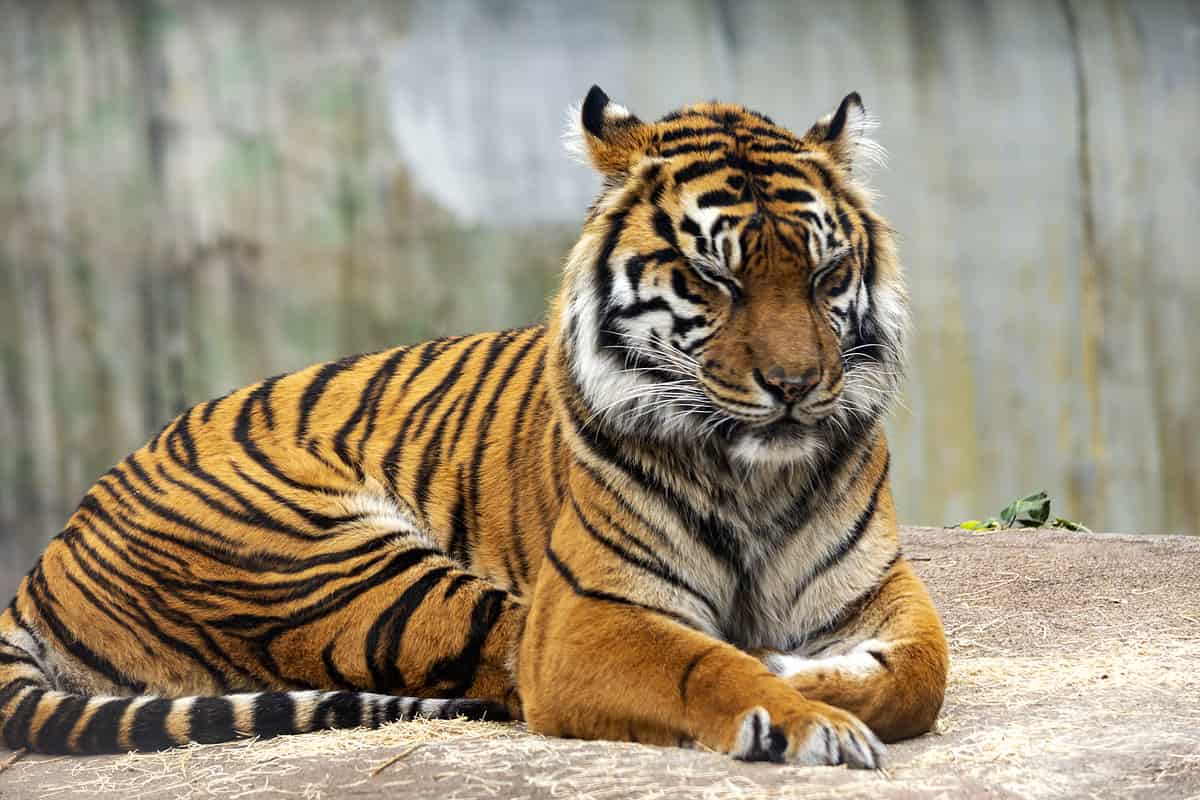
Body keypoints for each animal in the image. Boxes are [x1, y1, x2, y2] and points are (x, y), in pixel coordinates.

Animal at [0, 87, 945, 767]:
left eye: (826, 274)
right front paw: (805, 717)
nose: (795, 387)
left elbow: (921, 675)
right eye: (714, 278)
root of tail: (47, 556)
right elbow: (707, 660)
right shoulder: (582, 619)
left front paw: (814, 677)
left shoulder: (877, 587)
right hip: (347, 567)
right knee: (502, 666)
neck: (755, 476)